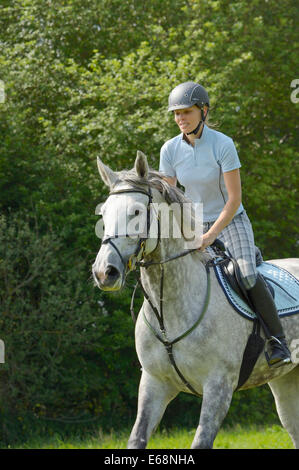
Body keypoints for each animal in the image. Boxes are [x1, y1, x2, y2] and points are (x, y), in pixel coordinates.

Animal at [92, 152, 299, 450]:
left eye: (137, 212)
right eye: (105, 213)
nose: (104, 272)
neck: (169, 314)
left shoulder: (219, 387)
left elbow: (201, 441)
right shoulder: (154, 384)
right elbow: (137, 438)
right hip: (286, 382)